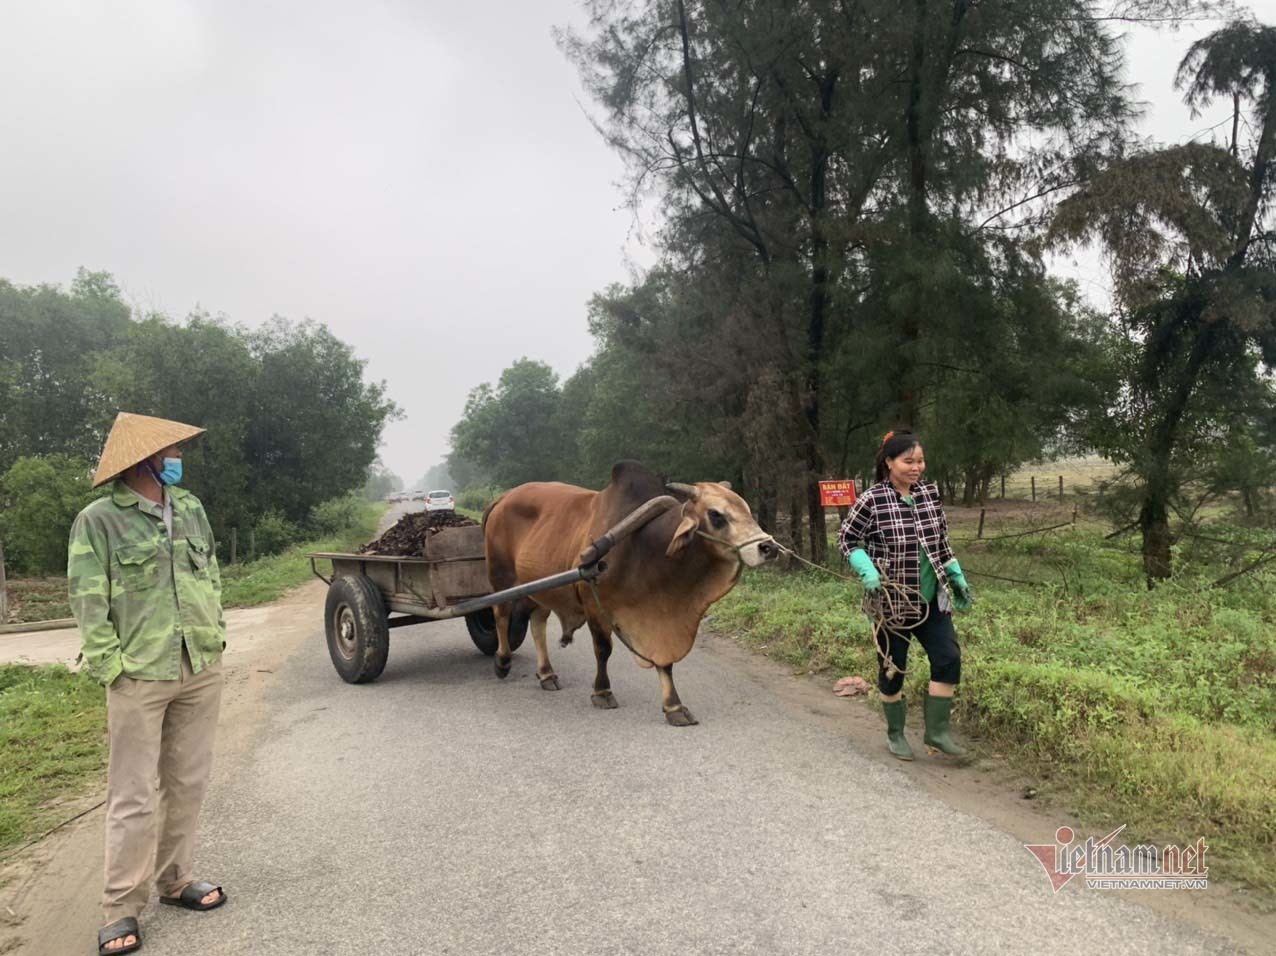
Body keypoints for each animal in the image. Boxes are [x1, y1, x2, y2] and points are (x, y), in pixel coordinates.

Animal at [479, 459, 770, 724]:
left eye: (746, 508)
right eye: (716, 514)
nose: (768, 547)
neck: (646, 551)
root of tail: (503, 497)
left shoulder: (660, 619)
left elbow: (665, 663)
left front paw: (674, 706)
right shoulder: (594, 605)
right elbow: (603, 649)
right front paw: (602, 692)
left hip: (540, 586)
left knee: (537, 621)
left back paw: (547, 673)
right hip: (501, 576)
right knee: (500, 614)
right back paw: (502, 662)